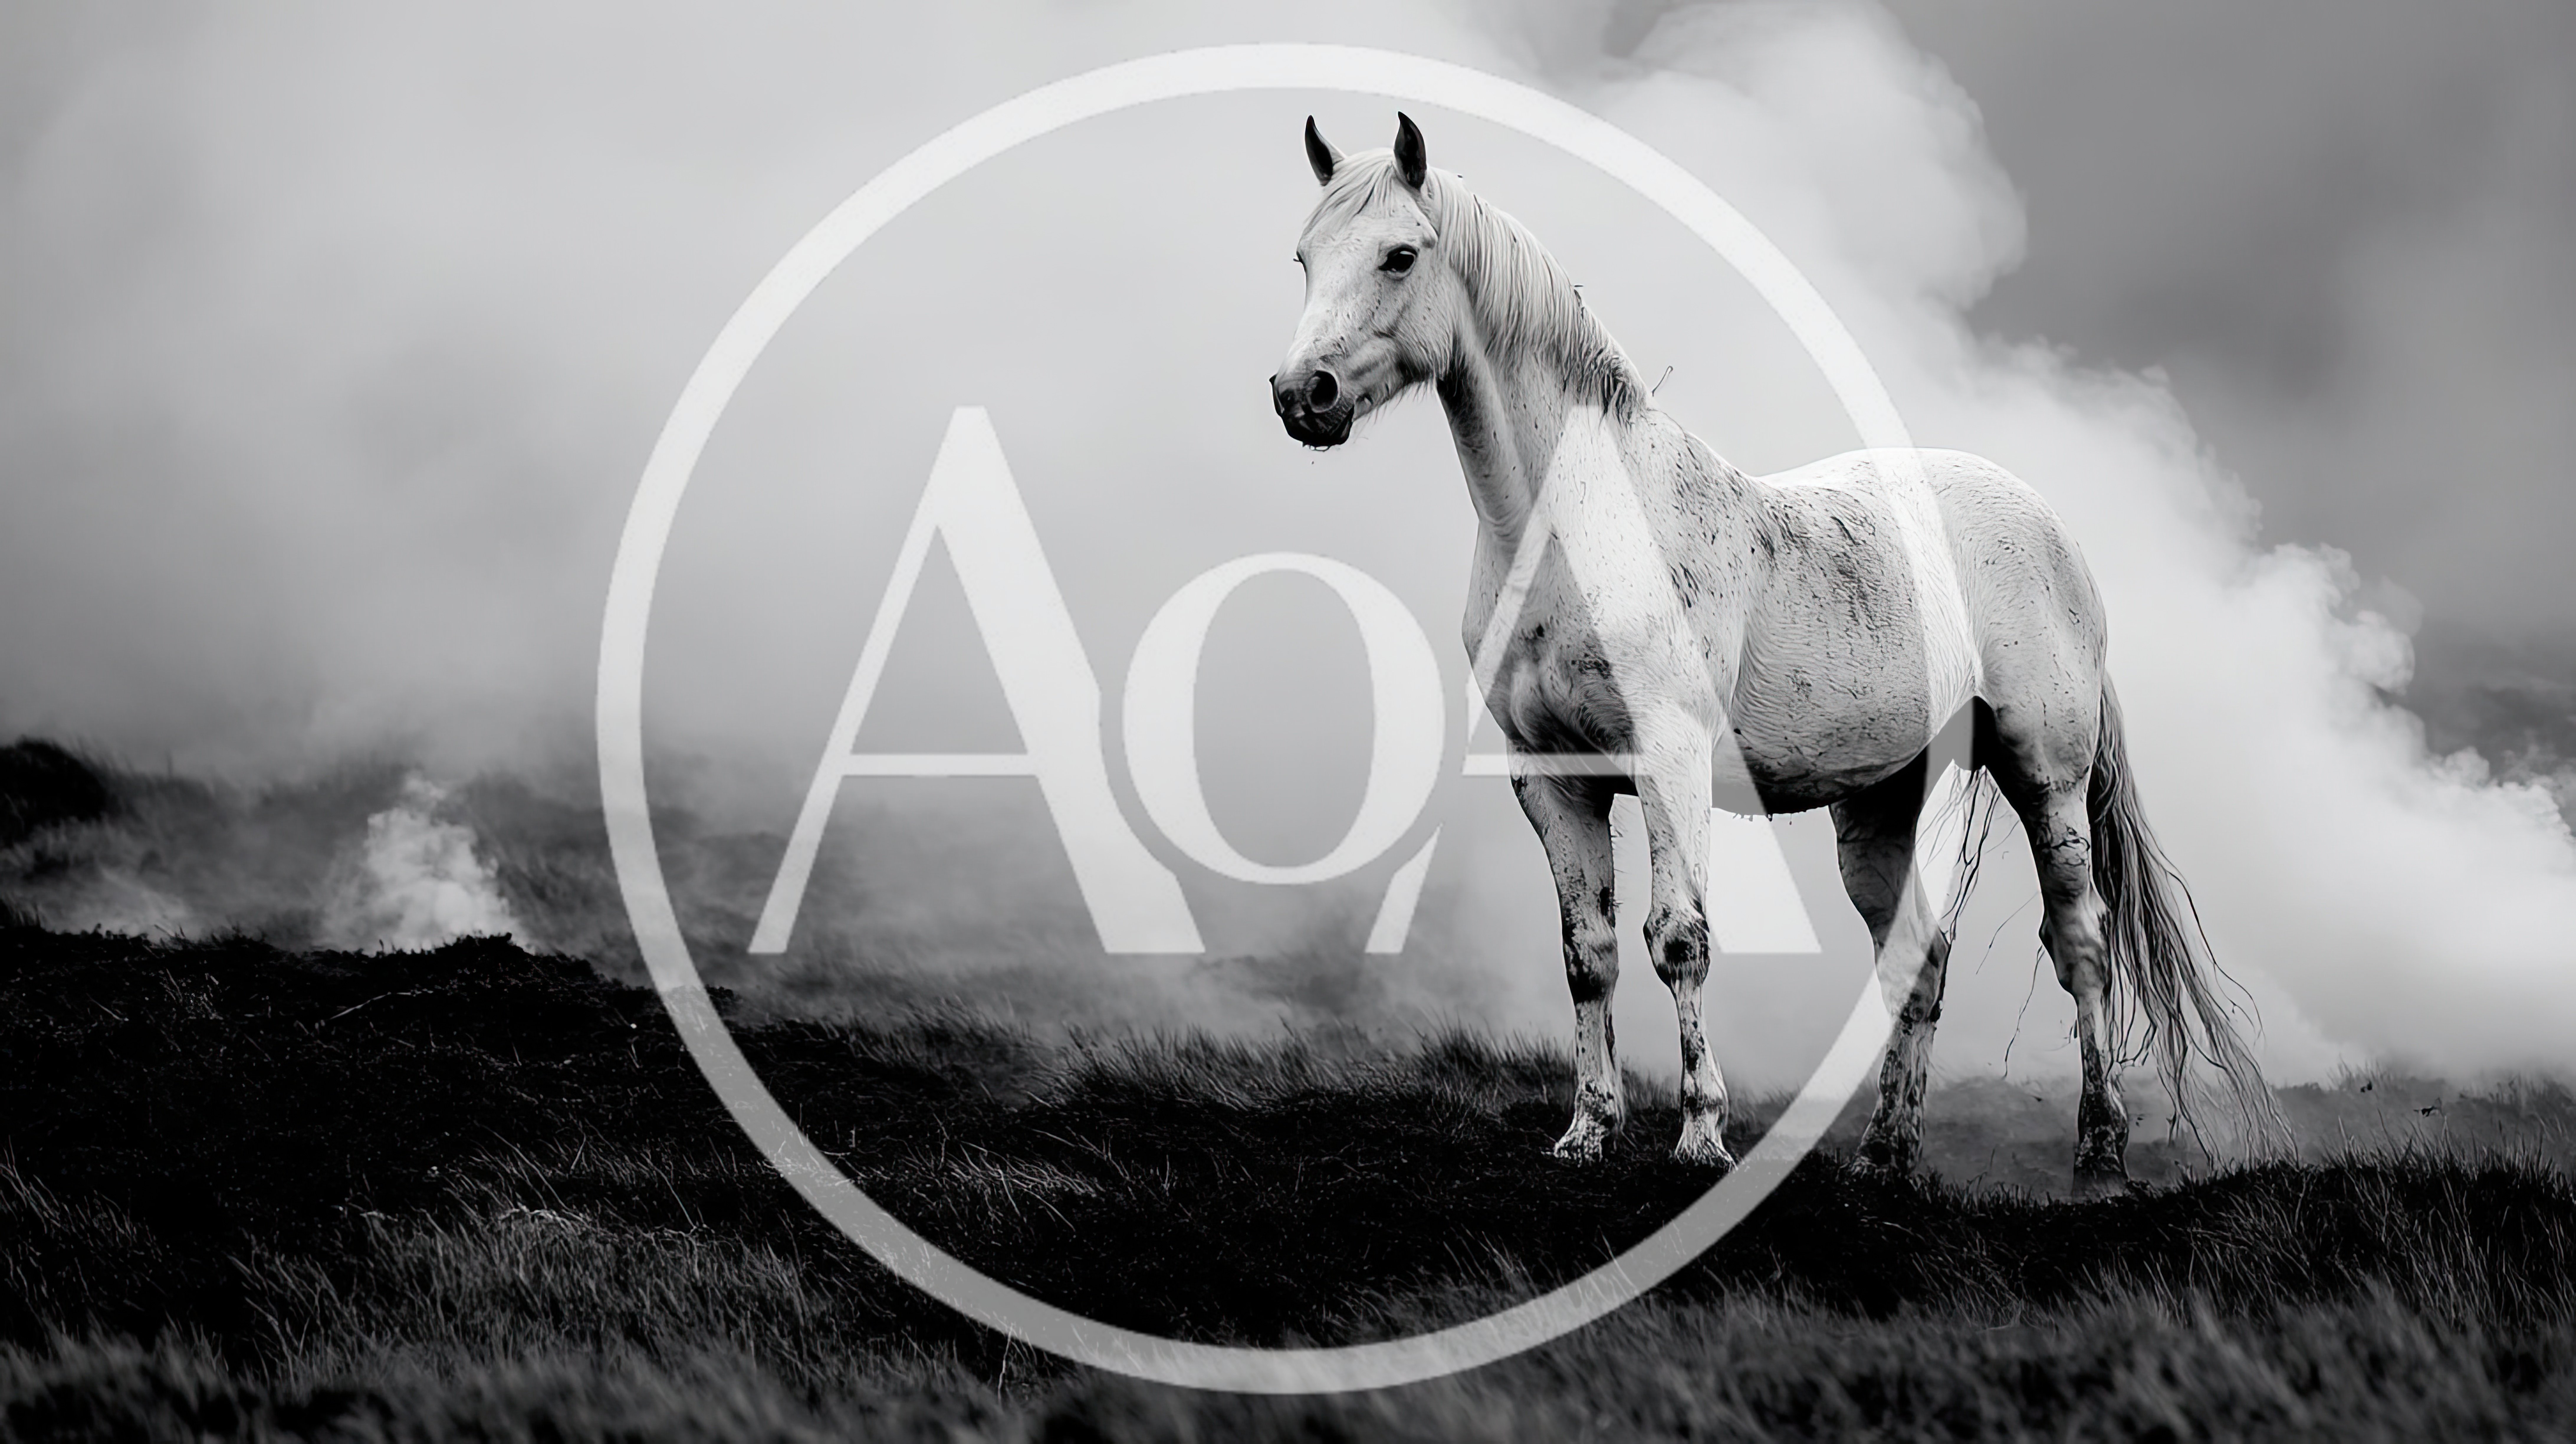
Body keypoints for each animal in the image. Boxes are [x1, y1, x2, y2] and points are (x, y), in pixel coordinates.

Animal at [1270, 114, 2284, 1194]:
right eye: (1304, 257)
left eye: (1400, 254)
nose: (1302, 395)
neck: (1576, 529)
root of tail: (2051, 527)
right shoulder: (1552, 778)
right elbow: (1588, 952)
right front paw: (1587, 1131)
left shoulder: (1668, 760)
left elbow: (1679, 940)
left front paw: (1701, 1134)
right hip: (1879, 802)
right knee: (1919, 958)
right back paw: (1884, 1156)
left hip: (2045, 775)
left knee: (2080, 944)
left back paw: (2098, 1150)